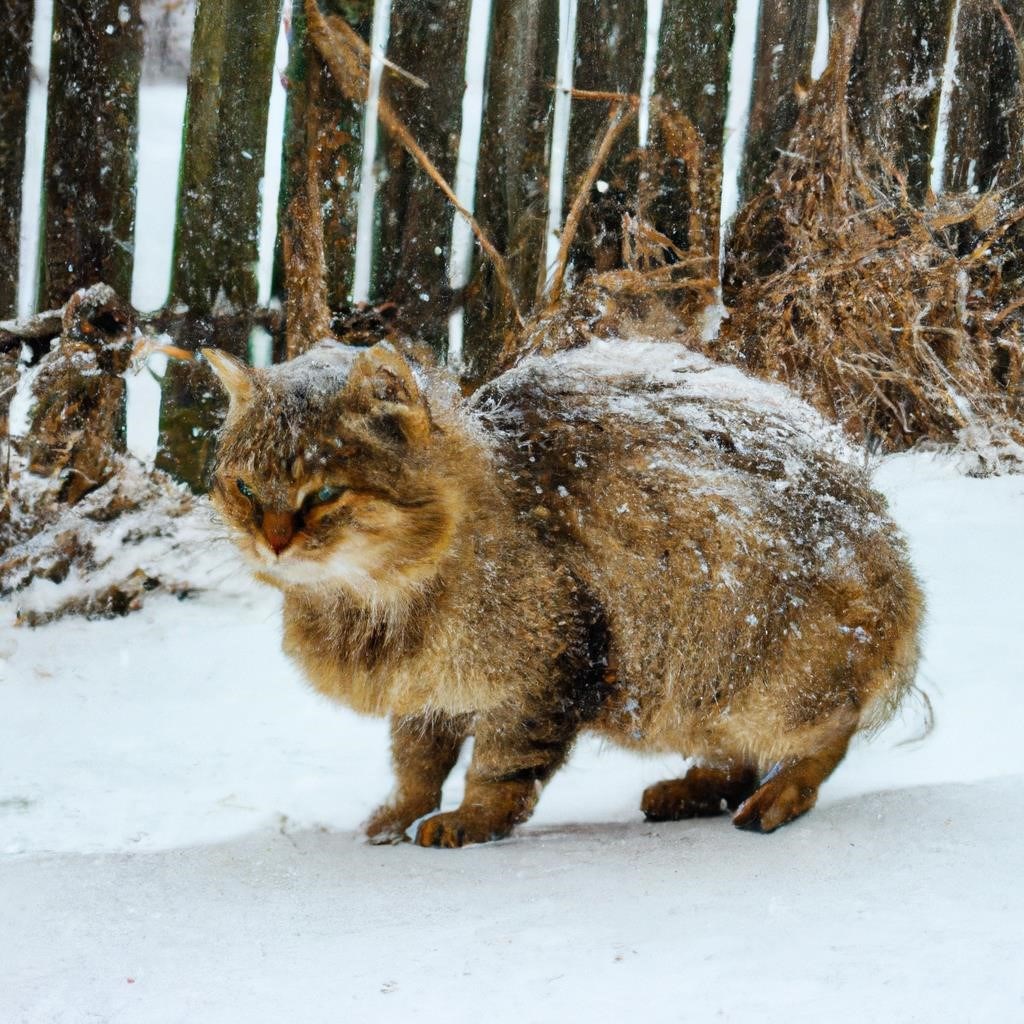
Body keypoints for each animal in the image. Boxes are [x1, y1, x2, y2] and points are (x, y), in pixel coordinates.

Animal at [203, 339, 925, 843]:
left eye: (324, 493)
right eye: (244, 488)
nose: (273, 540)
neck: (374, 606)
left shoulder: (546, 666)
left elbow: (498, 766)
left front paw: (469, 819)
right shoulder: (427, 691)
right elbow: (415, 765)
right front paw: (396, 815)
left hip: (761, 667)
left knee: (828, 734)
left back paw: (781, 794)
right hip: (704, 685)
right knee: (736, 756)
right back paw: (694, 787)